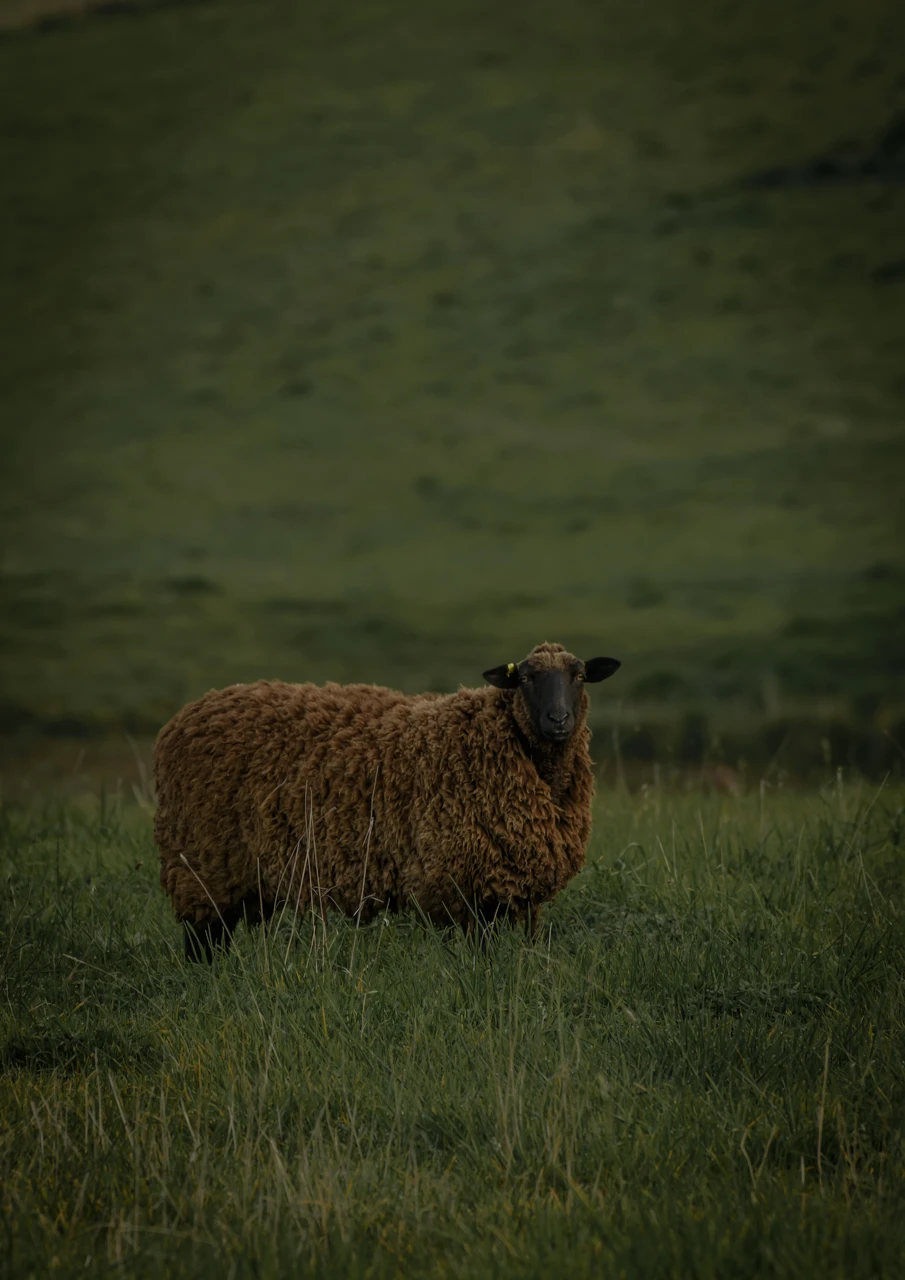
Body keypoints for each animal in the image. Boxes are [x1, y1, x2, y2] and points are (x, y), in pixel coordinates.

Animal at [153, 641, 621, 959]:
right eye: (524, 679)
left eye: (580, 676)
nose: (558, 719)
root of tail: (186, 715)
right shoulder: (464, 884)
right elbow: (480, 955)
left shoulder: (507, 890)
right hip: (200, 866)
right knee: (201, 942)